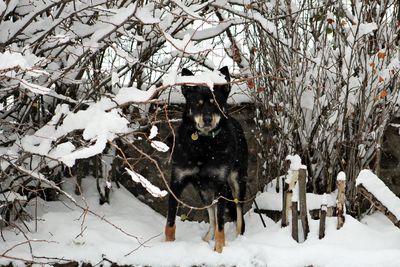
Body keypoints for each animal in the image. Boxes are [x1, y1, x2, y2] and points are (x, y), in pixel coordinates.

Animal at [165, 66, 247, 253]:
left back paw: (238, 239)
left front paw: (219, 250)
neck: (203, 142)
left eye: (214, 103)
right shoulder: (177, 181)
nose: (208, 119)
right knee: (212, 216)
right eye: (197, 103)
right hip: (203, 190)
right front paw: (167, 245)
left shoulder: (220, 184)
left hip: (237, 182)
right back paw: (206, 239)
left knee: (238, 213)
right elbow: (170, 221)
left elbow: (221, 225)